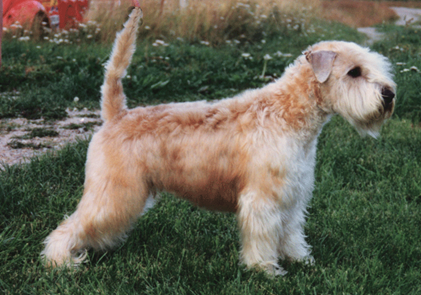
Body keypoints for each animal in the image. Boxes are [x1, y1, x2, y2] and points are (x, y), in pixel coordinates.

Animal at [39, 5, 394, 276]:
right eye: (354, 72)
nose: (389, 94)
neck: (288, 112)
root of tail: (116, 115)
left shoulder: (293, 195)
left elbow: (291, 232)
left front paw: (300, 260)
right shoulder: (262, 197)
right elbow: (263, 236)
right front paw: (265, 270)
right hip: (114, 192)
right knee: (69, 225)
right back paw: (62, 261)